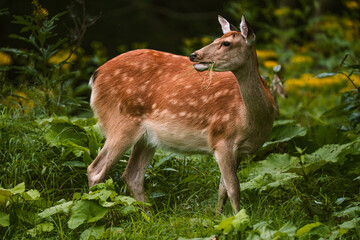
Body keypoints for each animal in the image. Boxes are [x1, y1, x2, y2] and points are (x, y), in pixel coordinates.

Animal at [87, 15, 276, 214]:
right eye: (215, 39)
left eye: (226, 43)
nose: (194, 55)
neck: (249, 119)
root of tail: (96, 75)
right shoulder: (222, 139)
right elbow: (234, 189)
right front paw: (239, 218)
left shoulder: (238, 150)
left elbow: (223, 188)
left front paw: (219, 216)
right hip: (120, 122)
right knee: (96, 170)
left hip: (146, 138)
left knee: (132, 175)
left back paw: (149, 216)